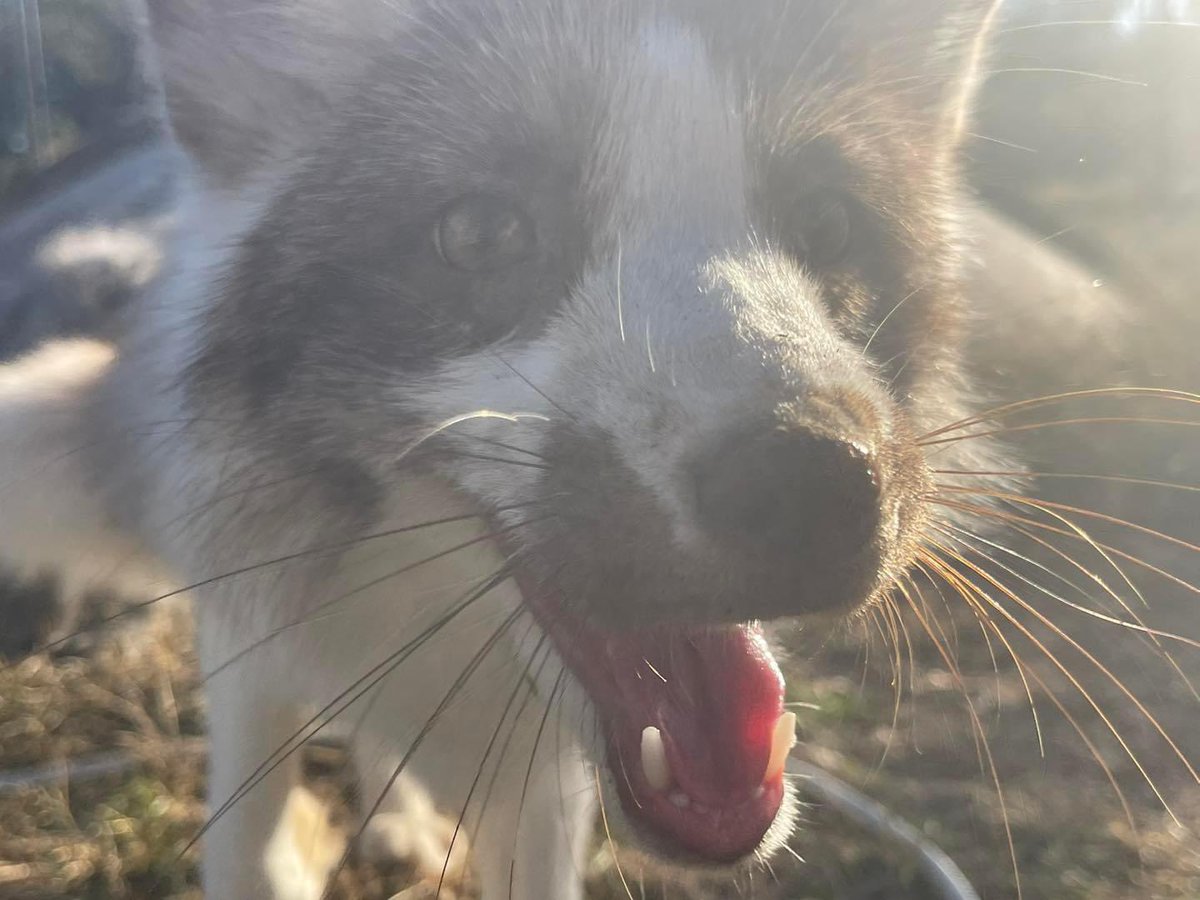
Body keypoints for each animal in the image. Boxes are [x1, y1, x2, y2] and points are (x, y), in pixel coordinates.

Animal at [0, 0, 1173, 898]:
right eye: (482, 233)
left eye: (830, 227)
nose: (818, 488)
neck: (422, 622)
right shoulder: (250, 665)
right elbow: (252, 850)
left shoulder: (547, 788)